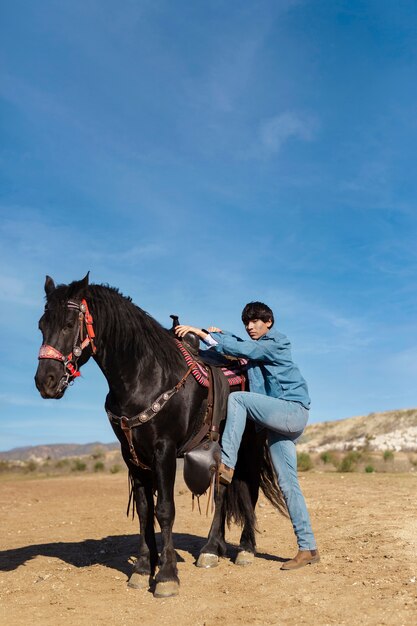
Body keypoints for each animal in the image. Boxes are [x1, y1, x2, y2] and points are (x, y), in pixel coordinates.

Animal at [35, 272, 286, 596]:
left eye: (68, 324)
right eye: (41, 326)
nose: (46, 381)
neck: (145, 376)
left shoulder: (164, 450)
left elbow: (165, 509)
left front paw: (166, 575)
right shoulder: (131, 455)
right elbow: (145, 511)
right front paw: (143, 568)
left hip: (250, 447)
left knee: (248, 489)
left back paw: (243, 548)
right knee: (221, 491)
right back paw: (212, 549)